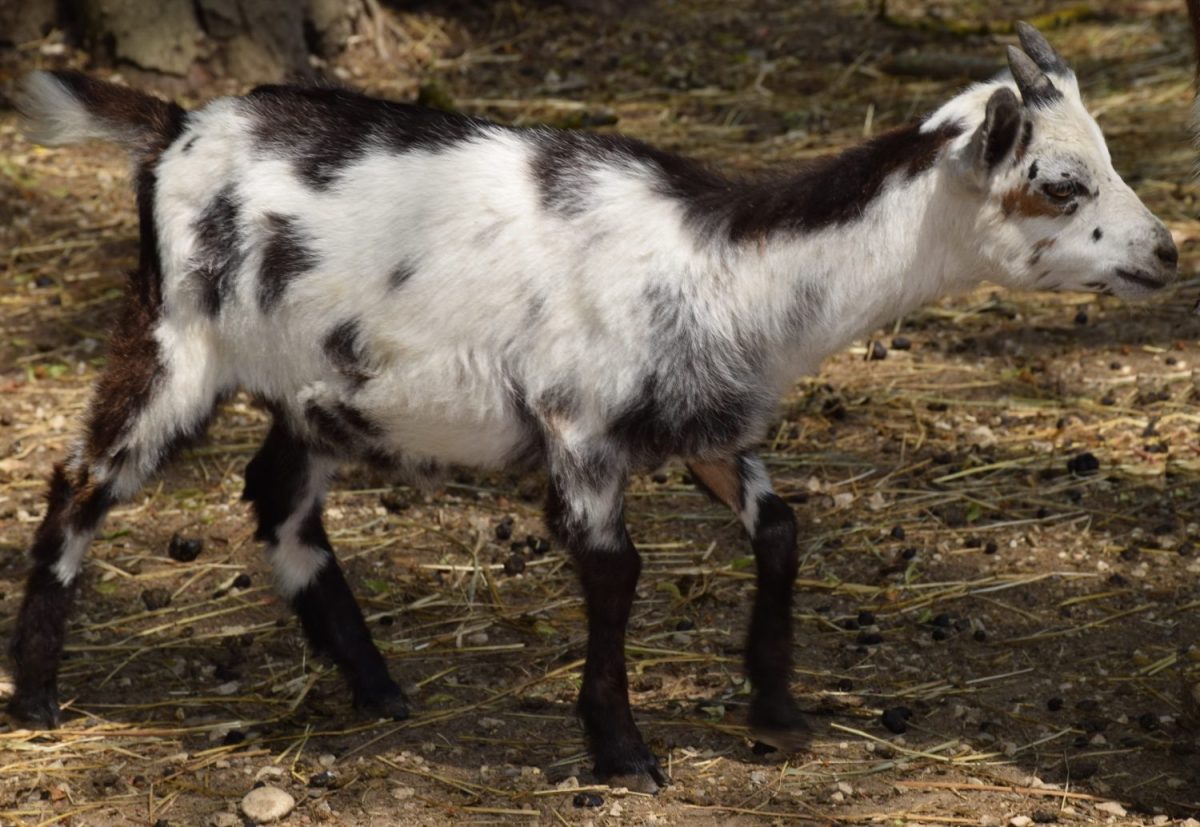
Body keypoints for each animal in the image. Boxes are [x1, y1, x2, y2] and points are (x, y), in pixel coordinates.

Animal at [7, 22, 1171, 792]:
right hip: (173, 338)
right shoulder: (582, 431)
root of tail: (174, 128)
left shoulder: (704, 426)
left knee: (281, 499)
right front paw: (623, 752)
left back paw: (379, 687)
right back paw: (38, 696)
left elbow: (782, 528)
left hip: (321, 387)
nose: (1164, 252)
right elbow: (616, 574)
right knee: (79, 482)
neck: (728, 266)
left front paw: (776, 707)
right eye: (1060, 182)